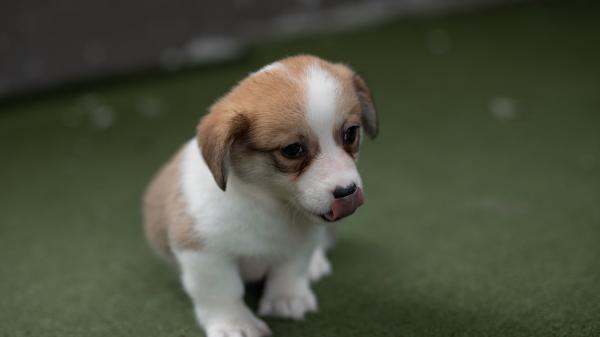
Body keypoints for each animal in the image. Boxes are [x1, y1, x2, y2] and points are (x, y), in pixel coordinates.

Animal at [143, 55, 378, 336]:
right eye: (292, 150)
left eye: (351, 133)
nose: (347, 192)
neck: (268, 203)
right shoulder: (203, 254)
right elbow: (222, 292)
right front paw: (235, 323)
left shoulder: (299, 245)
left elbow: (289, 272)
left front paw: (287, 299)